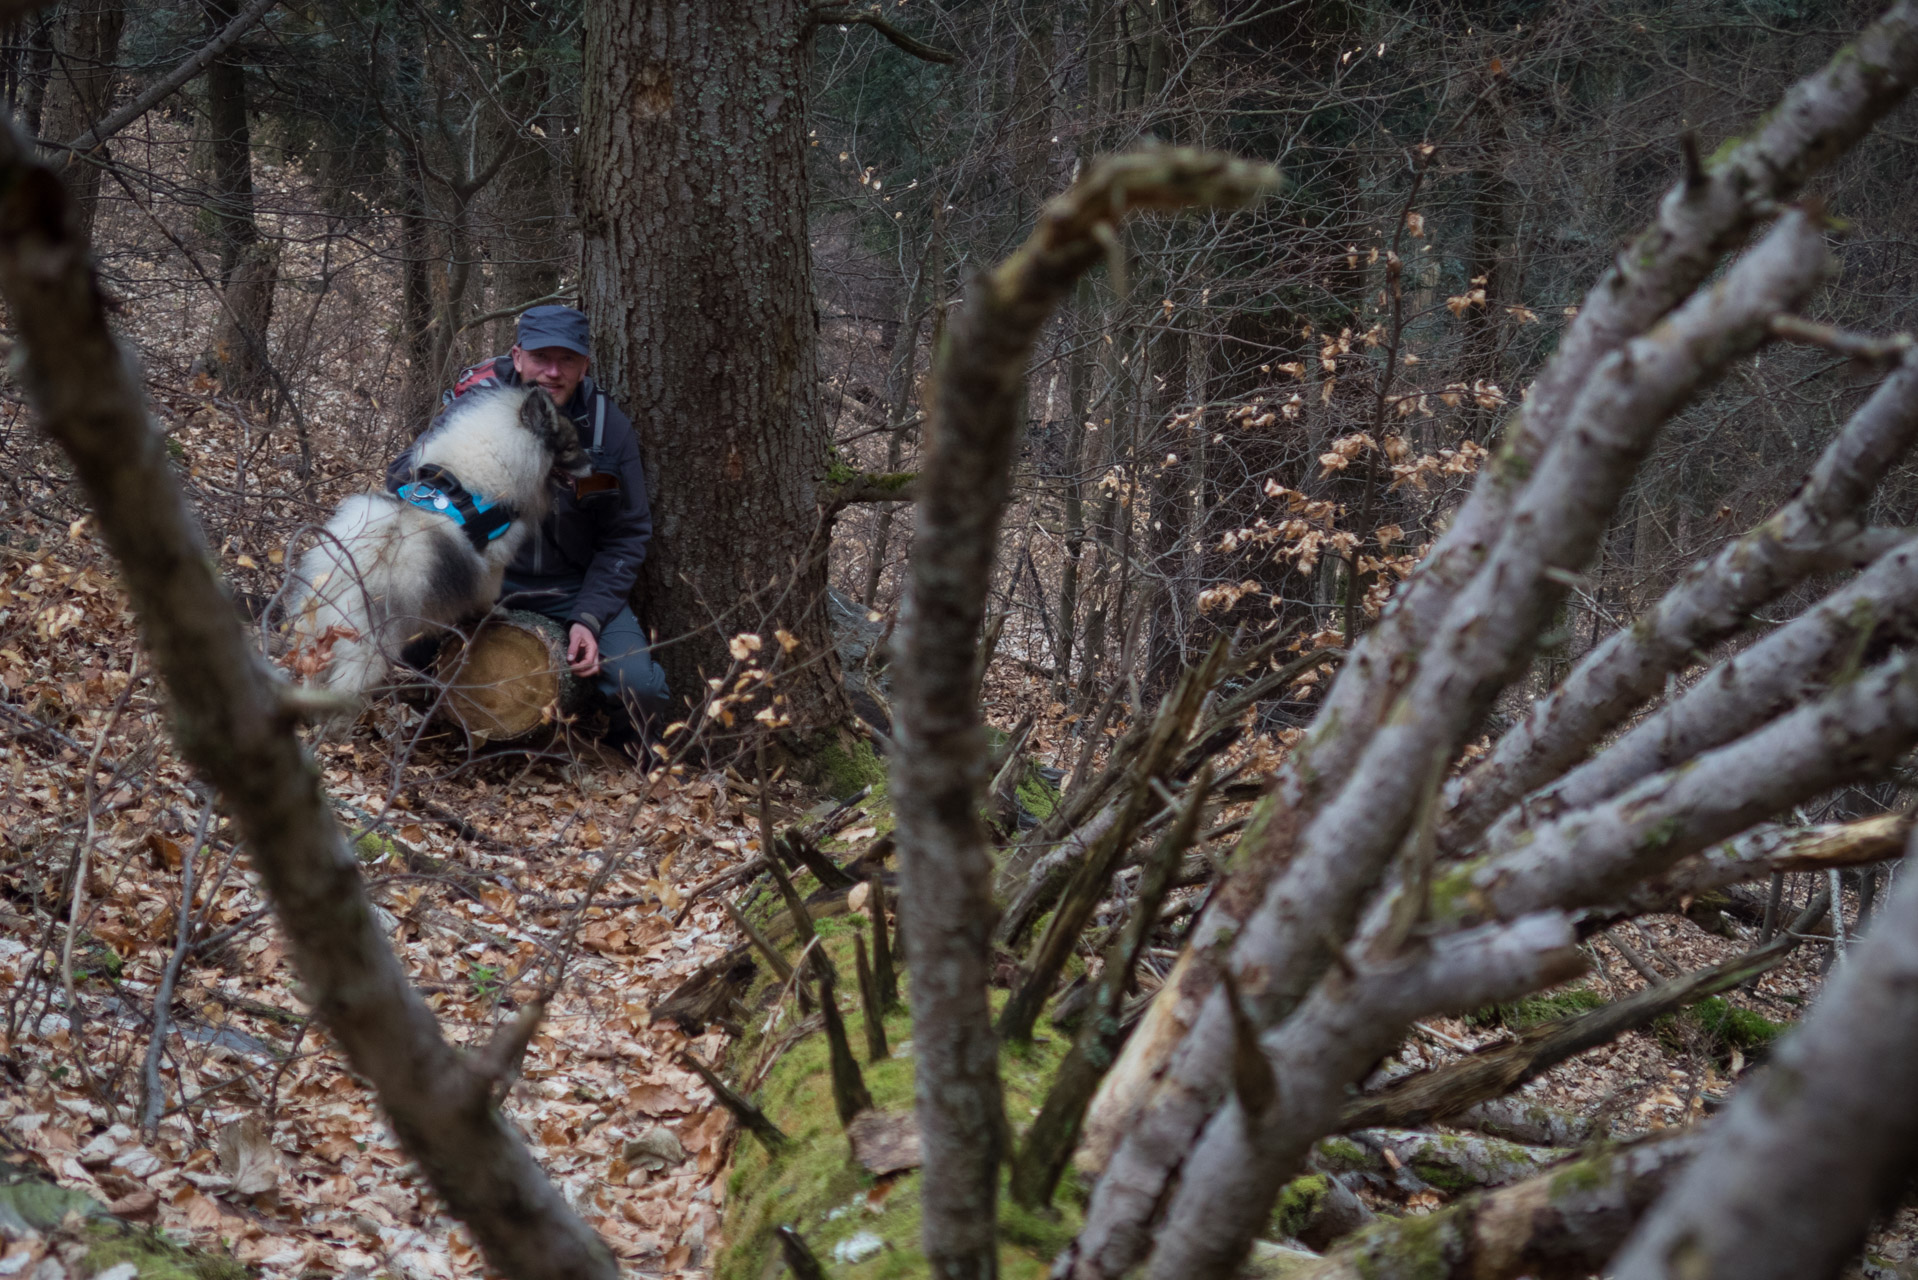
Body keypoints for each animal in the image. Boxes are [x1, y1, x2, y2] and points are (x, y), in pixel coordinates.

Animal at [280, 387, 586, 702]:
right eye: (571, 447)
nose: (592, 465)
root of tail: (343, 579)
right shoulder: (492, 564)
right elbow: (486, 596)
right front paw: (495, 612)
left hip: (315, 642)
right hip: (368, 650)